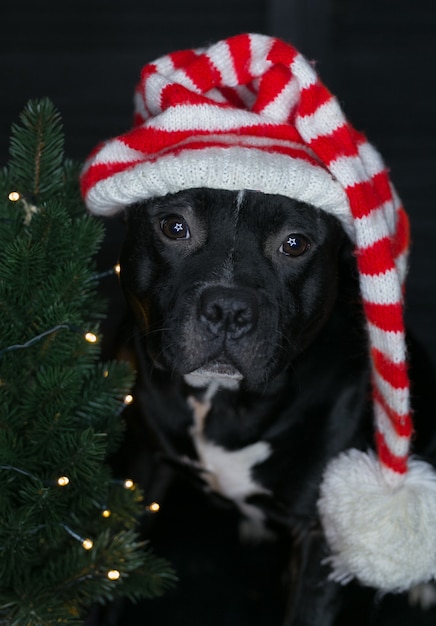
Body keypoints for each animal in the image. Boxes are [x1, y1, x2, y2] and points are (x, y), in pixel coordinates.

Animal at [104, 185, 436, 624]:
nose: (228, 308)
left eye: (295, 244)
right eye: (174, 226)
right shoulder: (142, 465)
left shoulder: (323, 534)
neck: (223, 400)